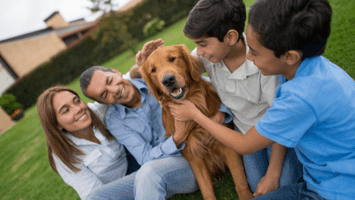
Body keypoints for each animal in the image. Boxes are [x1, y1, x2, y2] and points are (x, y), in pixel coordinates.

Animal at [140, 45, 254, 200]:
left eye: (172, 58)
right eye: (152, 70)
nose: (168, 80)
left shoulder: (228, 145)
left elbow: (240, 181)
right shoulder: (194, 157)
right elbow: (206, 190)